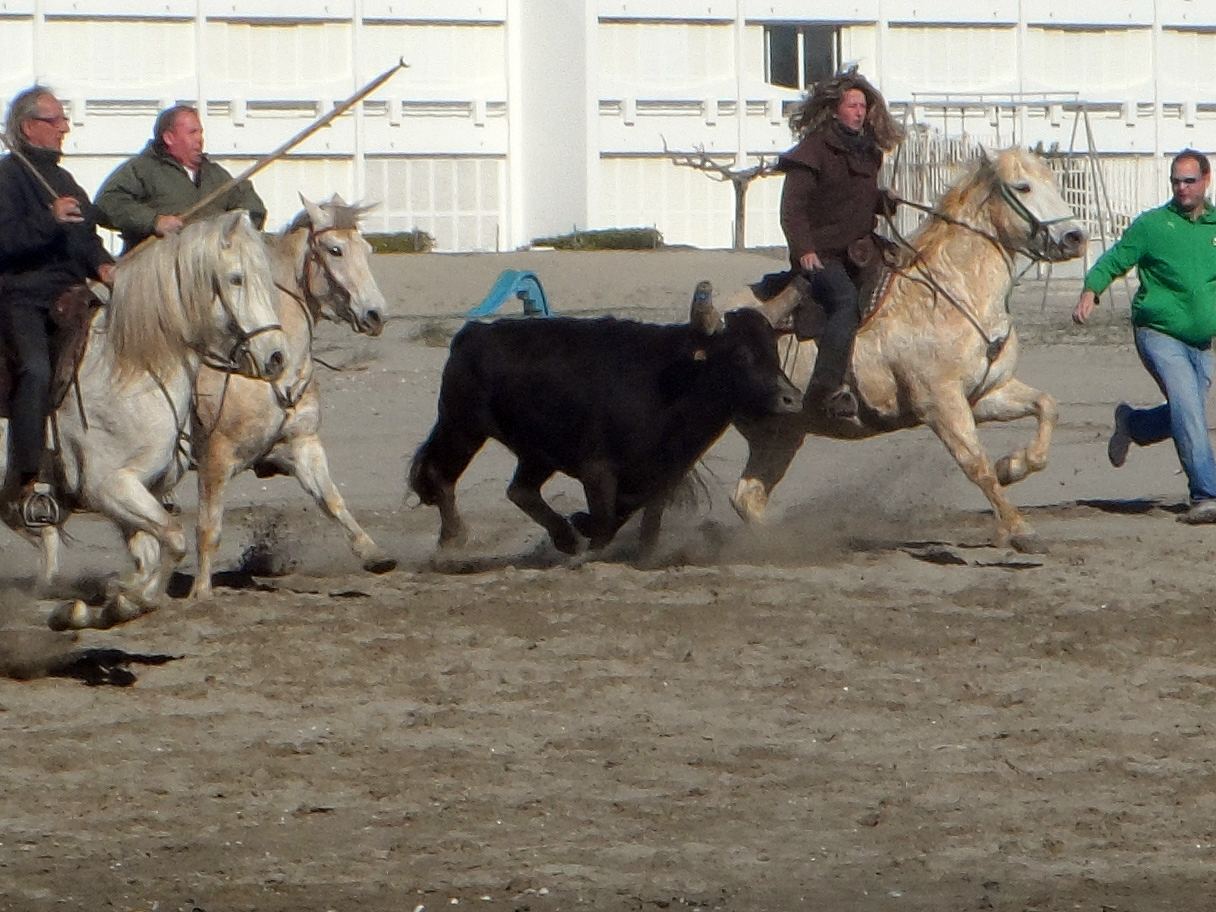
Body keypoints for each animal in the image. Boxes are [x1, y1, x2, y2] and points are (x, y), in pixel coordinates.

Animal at [5, 210, 294, 632]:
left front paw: (113, 603)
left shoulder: (141, 493)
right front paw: (129, 601)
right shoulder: (110, 488)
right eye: (236, 278)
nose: (276, 357)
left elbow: (152, 552)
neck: (131, 372)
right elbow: (174, 539)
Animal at [189, 194, 396, 600]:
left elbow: (332, 500)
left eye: (366, 249)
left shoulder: (303, 444)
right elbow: (209, 527)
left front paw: (373, 553)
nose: (375, 314)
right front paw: (200, 594)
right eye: (335, 250)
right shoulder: (216, 457)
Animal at [408, 285, 802, 556]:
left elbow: (642, 521)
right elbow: (606, 518)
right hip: (462, 428)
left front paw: (639, 554)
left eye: (774, 351)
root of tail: (473, 333)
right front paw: (584, 528)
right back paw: (454, 536)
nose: (792, 398)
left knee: (521, 490)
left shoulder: (665, 476)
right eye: (740, 354)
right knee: (440, 475)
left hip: (536, 452)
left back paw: (564, 538)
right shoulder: (597, 470)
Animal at [734, 147, 1089, 554]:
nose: (1076, 237)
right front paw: (1018, 529)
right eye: (1022, 186)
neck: (953, 295)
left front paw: (1012, 467)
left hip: (781, 433)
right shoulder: (940, 403)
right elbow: (975, 464)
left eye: (1054, 183)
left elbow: (1046, 407)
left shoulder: (985, 394)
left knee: (747, 498)